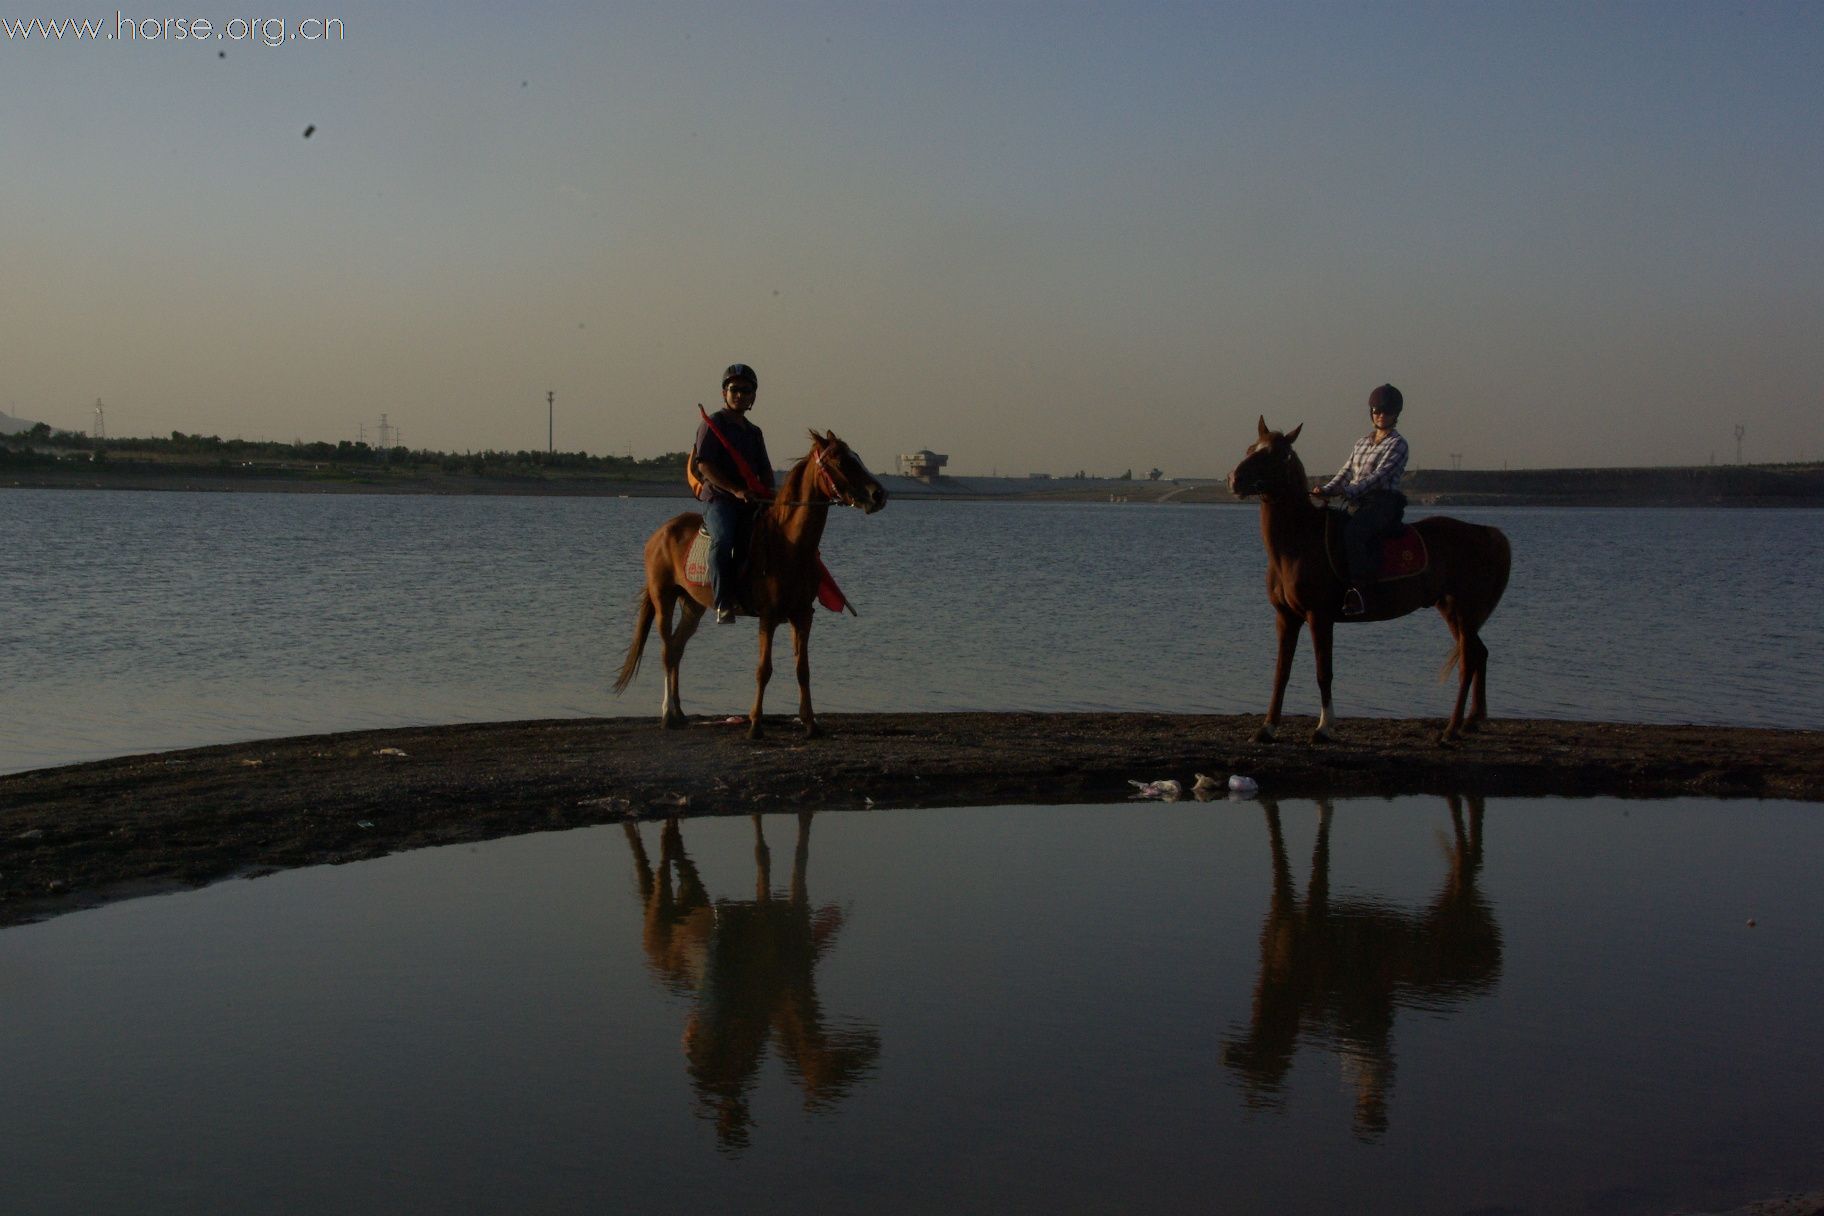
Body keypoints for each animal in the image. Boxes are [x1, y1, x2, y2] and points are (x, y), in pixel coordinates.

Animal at [616, 437, 886, 743]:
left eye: (857, 456)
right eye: (841, 461)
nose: (879, 495)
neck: (788, 543)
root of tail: (659, 533)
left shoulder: (803, 616)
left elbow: (802, 670)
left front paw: (811, 724)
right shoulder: (768, 617)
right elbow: (763, 670)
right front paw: (755, 725)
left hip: (693, 605)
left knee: (676, 648)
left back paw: (680, 713)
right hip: (664, 597)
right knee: (665, 650)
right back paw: (666, 715)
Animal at [1225, 415, 1510, 743]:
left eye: (1274, 455)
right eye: (1251, 448)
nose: (1233, 479)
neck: (1298, 542)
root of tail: (1484, 532)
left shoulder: (1319, 616)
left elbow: (1323, 672)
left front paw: (1324, 727)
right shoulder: (1286, 617)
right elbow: (1281, 673)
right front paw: (1267, 728)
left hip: (1465, 610)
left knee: (1468, 660)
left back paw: (1450, 729)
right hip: (1452, 610)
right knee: (1478, 654)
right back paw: (1471, 721)